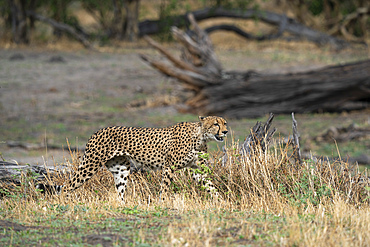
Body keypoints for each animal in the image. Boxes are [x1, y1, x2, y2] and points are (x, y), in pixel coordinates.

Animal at [54, 116, 225, 201]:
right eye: (216, 124)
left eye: (225, 123)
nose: (226, 131)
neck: (201, 136)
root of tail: (98, 130)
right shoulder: (169, 167)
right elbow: (165, 188)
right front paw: (162, 203)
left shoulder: (197, 170)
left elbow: (211, 186)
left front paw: (221, 202)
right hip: (90, 164)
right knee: (67, 186)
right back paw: (64, 204)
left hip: (121, 169)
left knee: (120, 192)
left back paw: (123, 207)